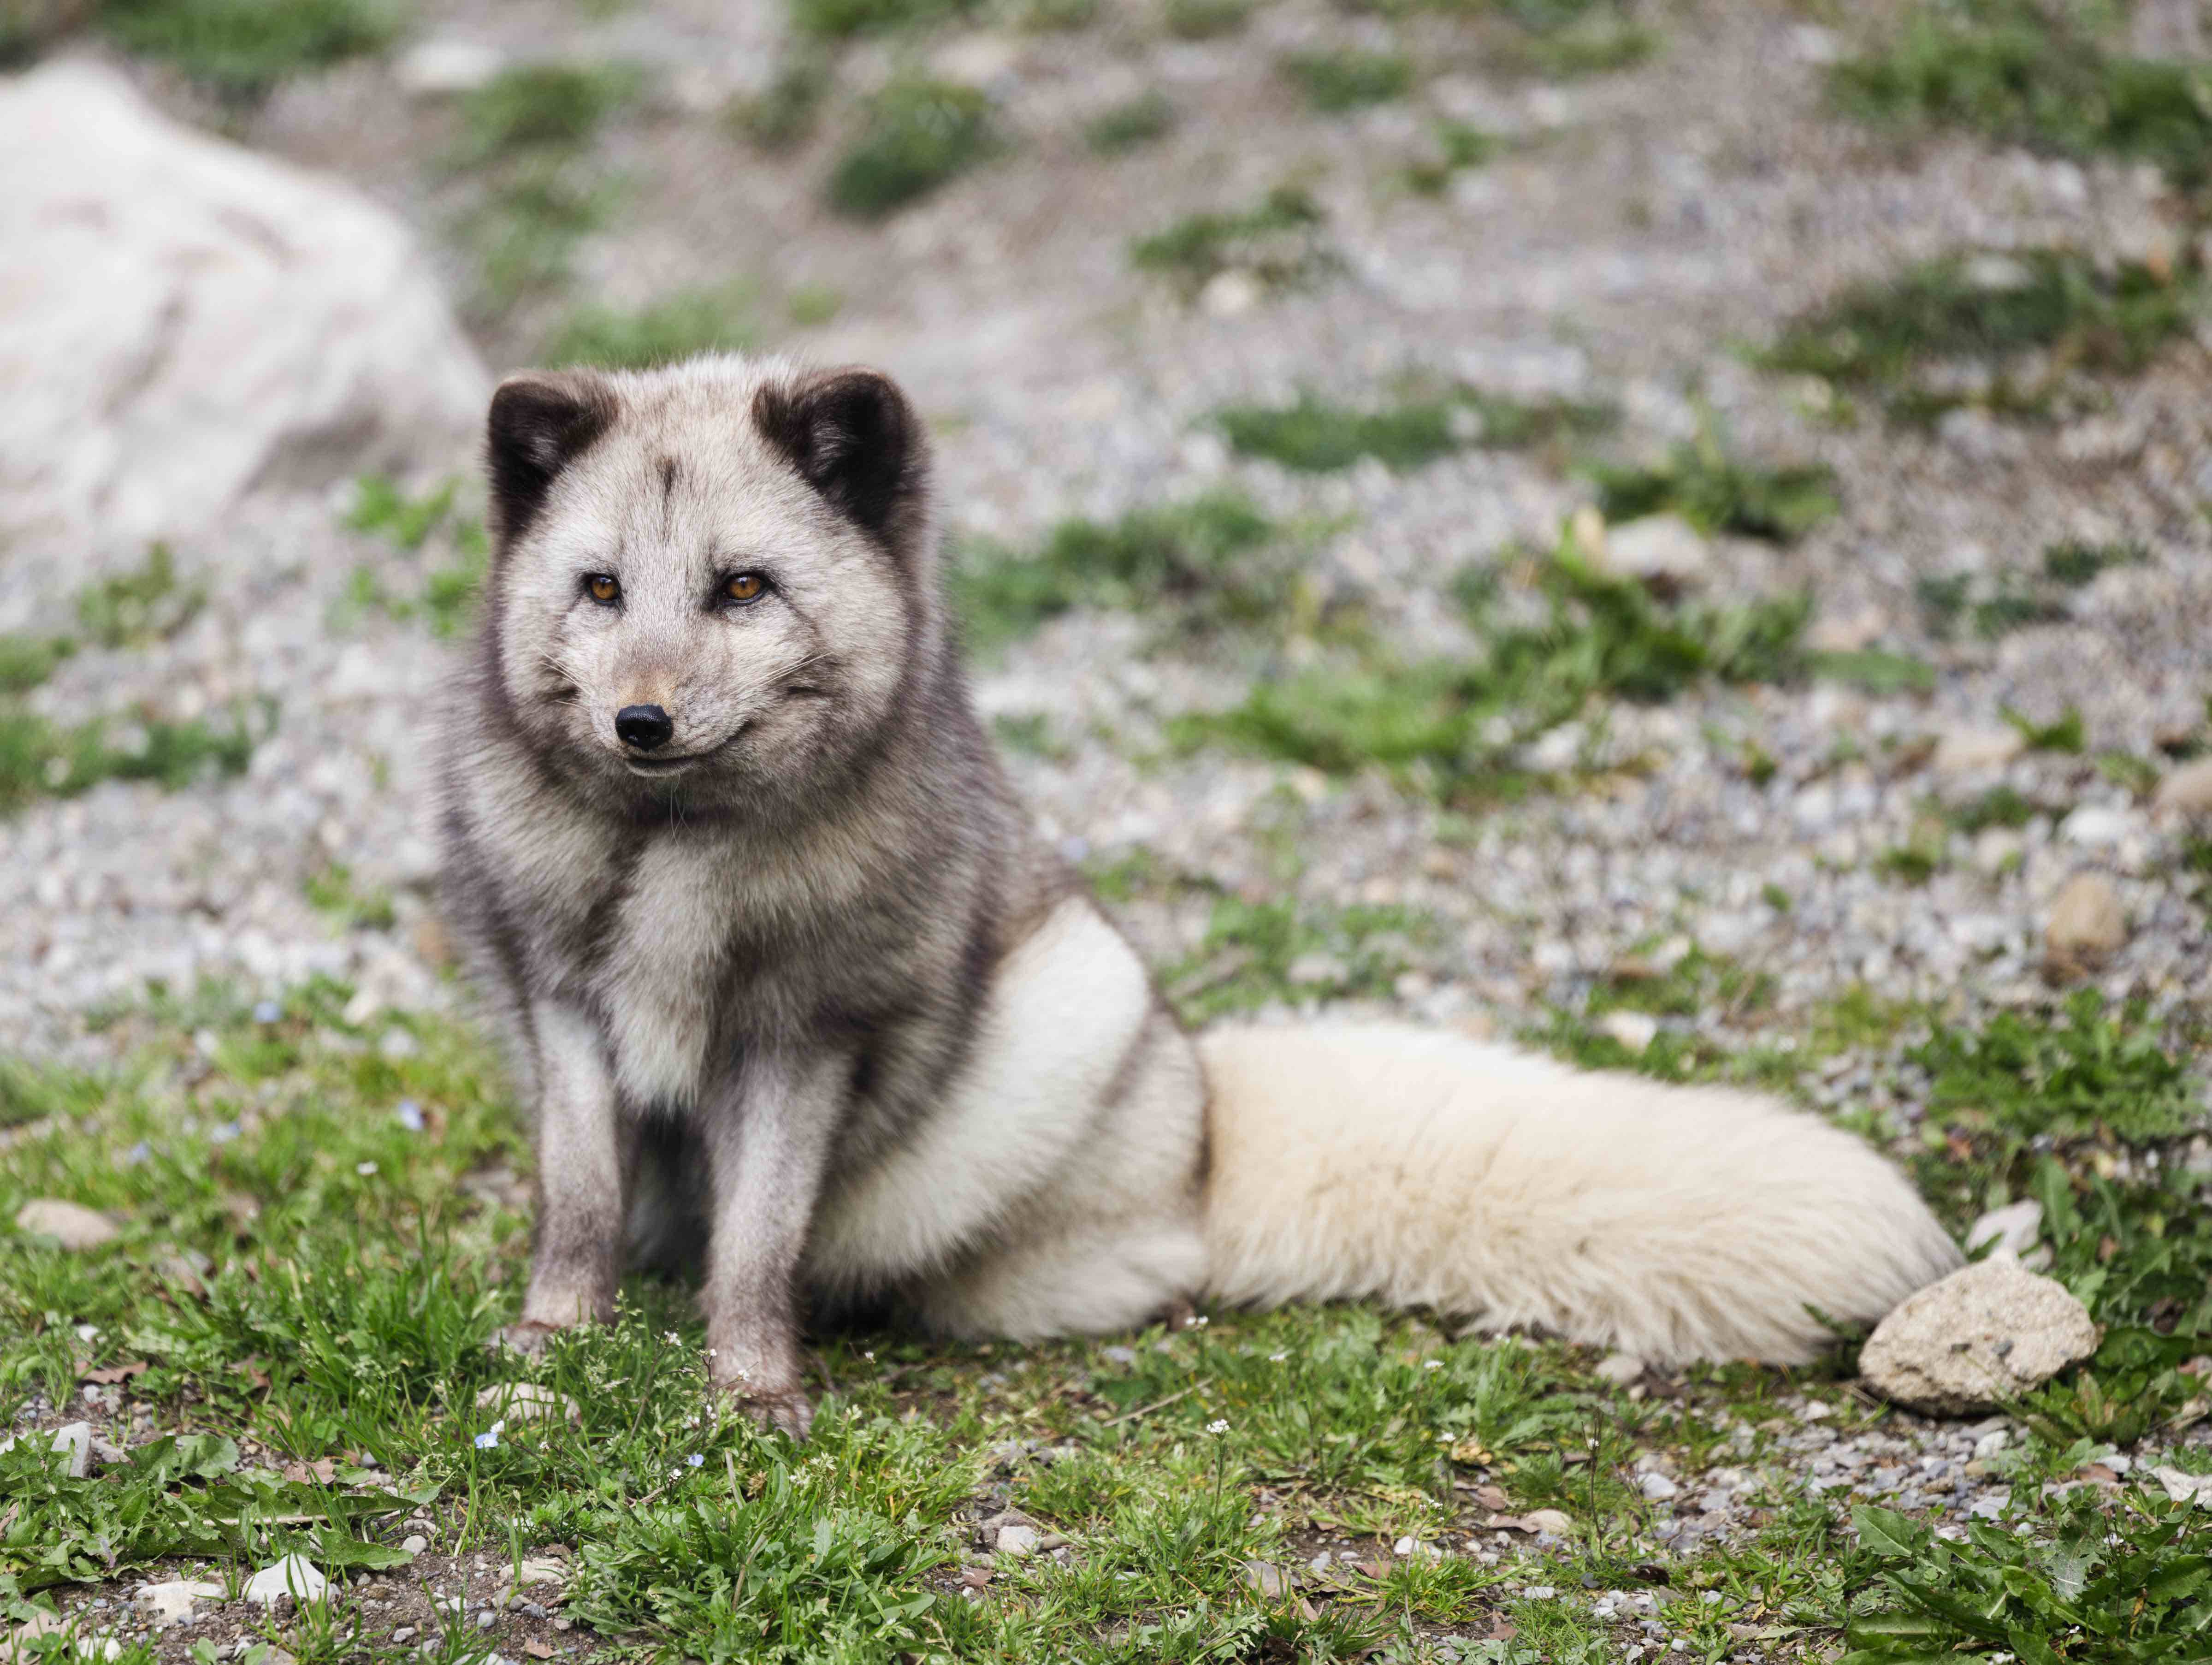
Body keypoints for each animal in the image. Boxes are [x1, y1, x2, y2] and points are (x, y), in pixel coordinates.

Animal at [431, 358, 1955, 1433]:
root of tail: (1211, 1130)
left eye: (743, 588)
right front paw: (547, 1352)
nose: (638, 721)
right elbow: (575, 1202)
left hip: (1072, 1011)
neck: (671, 850)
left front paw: (752, 1393)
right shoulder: (561, 1002)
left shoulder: (804, 1033)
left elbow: (755, 1244)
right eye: (600, 590)